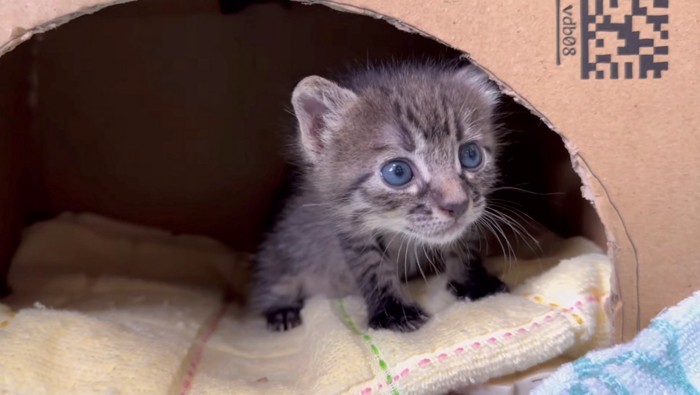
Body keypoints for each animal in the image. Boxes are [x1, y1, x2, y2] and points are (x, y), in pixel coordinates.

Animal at [252, 61, 508, 334]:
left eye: (470, 155)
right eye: (398, 172)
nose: (458, 205)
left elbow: (463, 244)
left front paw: (474, 281)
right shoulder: (349, 227)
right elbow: (372, 266)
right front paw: (394, 312)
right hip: (280, 253)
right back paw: (281, 310)